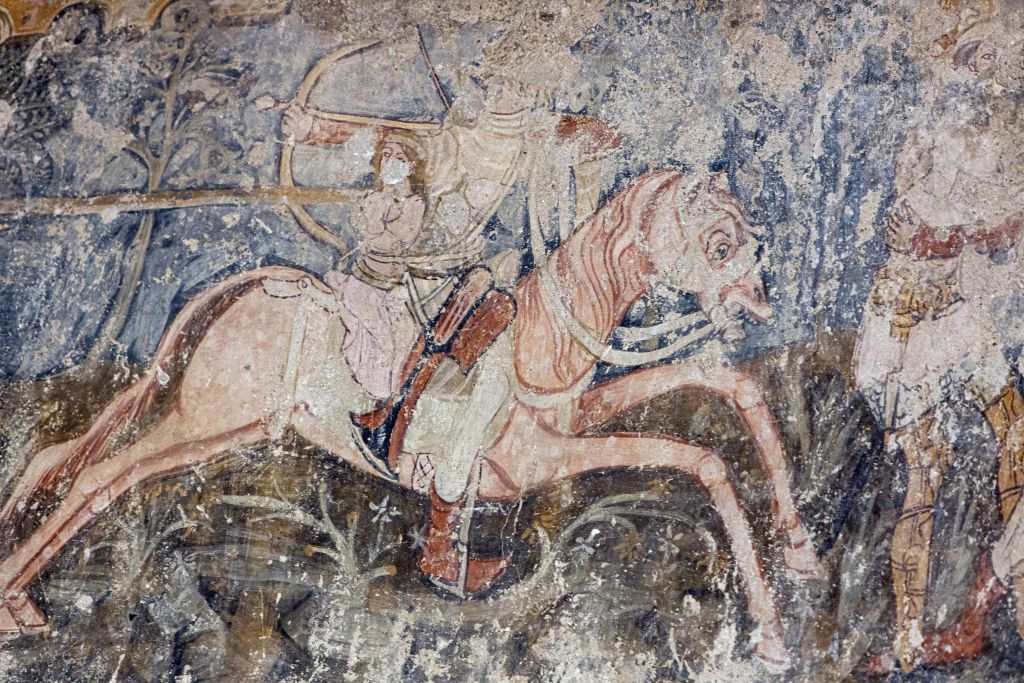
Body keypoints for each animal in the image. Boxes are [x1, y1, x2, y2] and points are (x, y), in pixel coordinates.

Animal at [0, 169, 819, 669]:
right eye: (718, 242)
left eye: (748, 239)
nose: (756, 304)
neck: (541, 339)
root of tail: (254, 284)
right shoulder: (534, 460)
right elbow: (699, 458)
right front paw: (773, 632)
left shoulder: (577, 418)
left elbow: (729, 385)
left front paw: (803, 549)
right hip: (205, 419)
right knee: (97, 478)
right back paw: (18, 603)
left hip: (229, 428)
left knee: (67, 461)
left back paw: (21, 587)